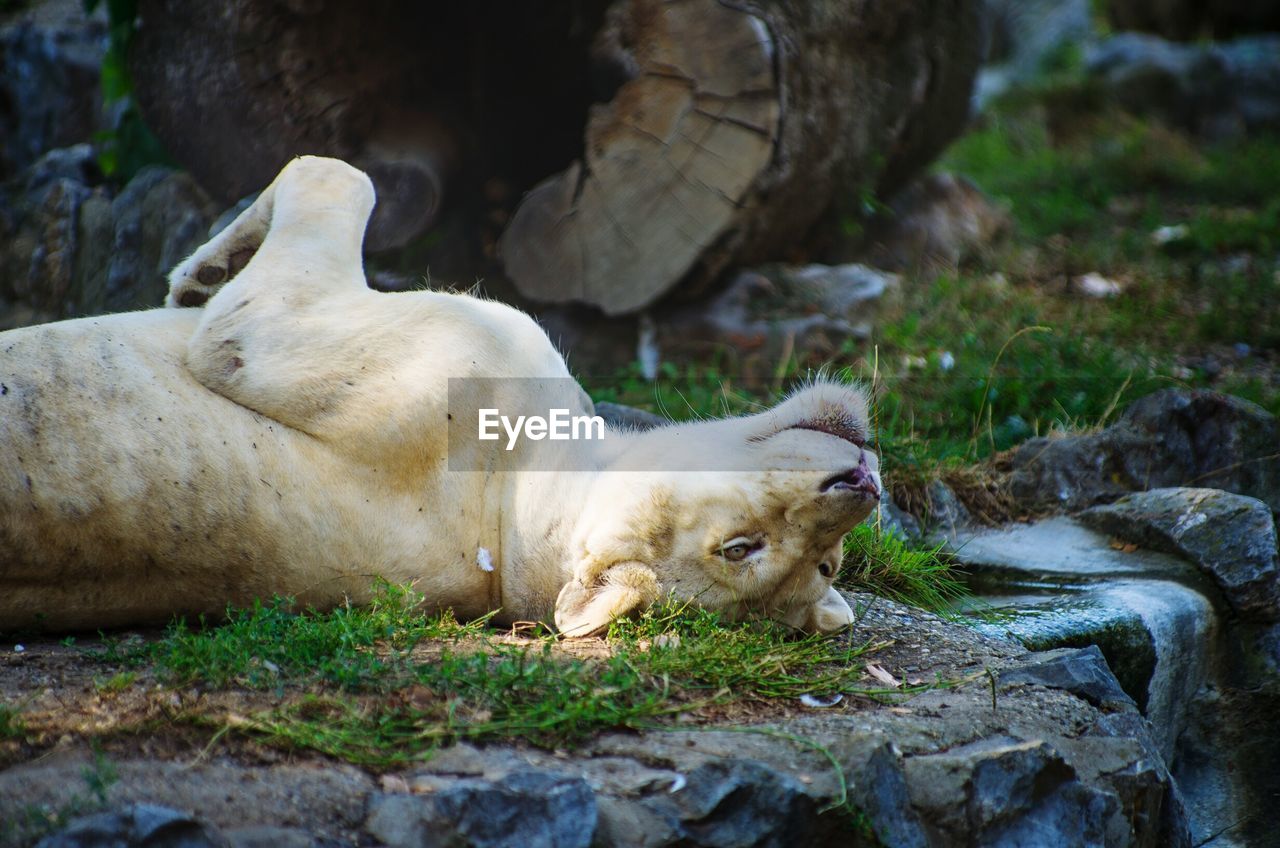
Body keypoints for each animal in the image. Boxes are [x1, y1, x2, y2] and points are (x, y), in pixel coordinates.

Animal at [0, 157, 880, 637]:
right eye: (747, 549)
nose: (861, 482)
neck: (513, 506)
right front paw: (200, 271)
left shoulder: (298, 342)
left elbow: (337, 179)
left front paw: (201, 272)